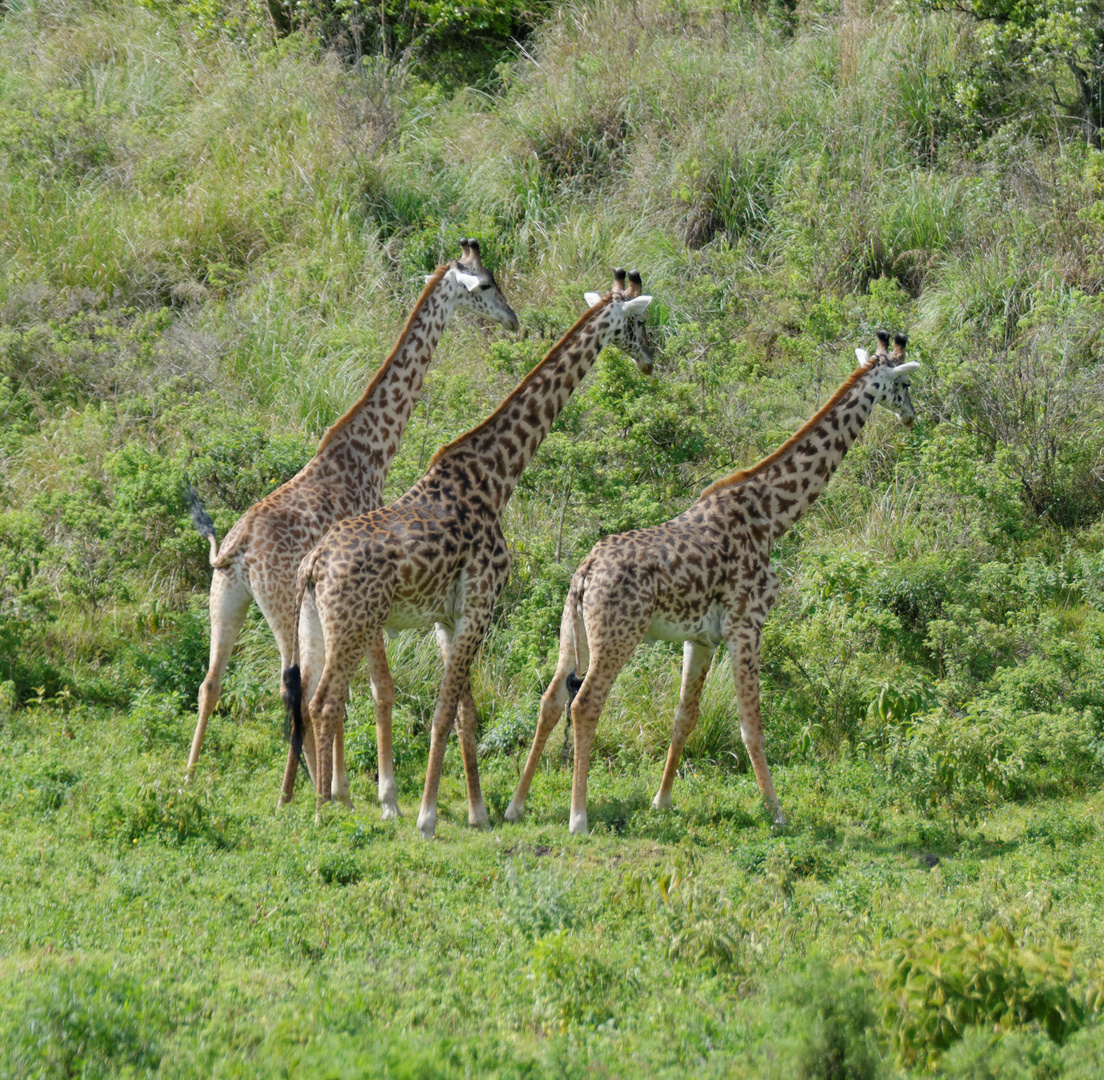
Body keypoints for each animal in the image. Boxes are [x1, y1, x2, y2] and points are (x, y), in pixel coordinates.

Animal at [186, 239, 521, 795]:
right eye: (488, 283)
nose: (513, 320)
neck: (371, 449)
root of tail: (237, 548)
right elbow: (368, 687)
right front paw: (347, 787)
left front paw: (341, 783)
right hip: (282, 604)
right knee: (292, 688)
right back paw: (299, 784)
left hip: (226, 598)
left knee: (211, 682)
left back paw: (192, 775)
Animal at [284, 267, 657, 834]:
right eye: (637, 324)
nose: (652, 359)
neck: (496, 477)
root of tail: (313, 565)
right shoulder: (481, 605)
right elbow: (444, 712)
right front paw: (427, 816)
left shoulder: (449, 616)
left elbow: (465, 714)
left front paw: (478, 812)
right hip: (352, 623)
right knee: (327, 701)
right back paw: (329, 807)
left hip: (315, 622)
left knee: (308, 698)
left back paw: (320, 799)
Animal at [505, 329, 918, 834]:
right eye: (905, 385)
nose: (912, 416)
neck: (772, 516)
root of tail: (584, 574)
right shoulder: (747, 623)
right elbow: (750, 721)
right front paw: (776, 812)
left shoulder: (700, 638)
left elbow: (686, 715)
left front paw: (661, 800)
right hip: (619, 635)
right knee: (584, 704)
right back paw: (578, 817)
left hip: (572, 630)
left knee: (549, 700)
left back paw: (516, 805)